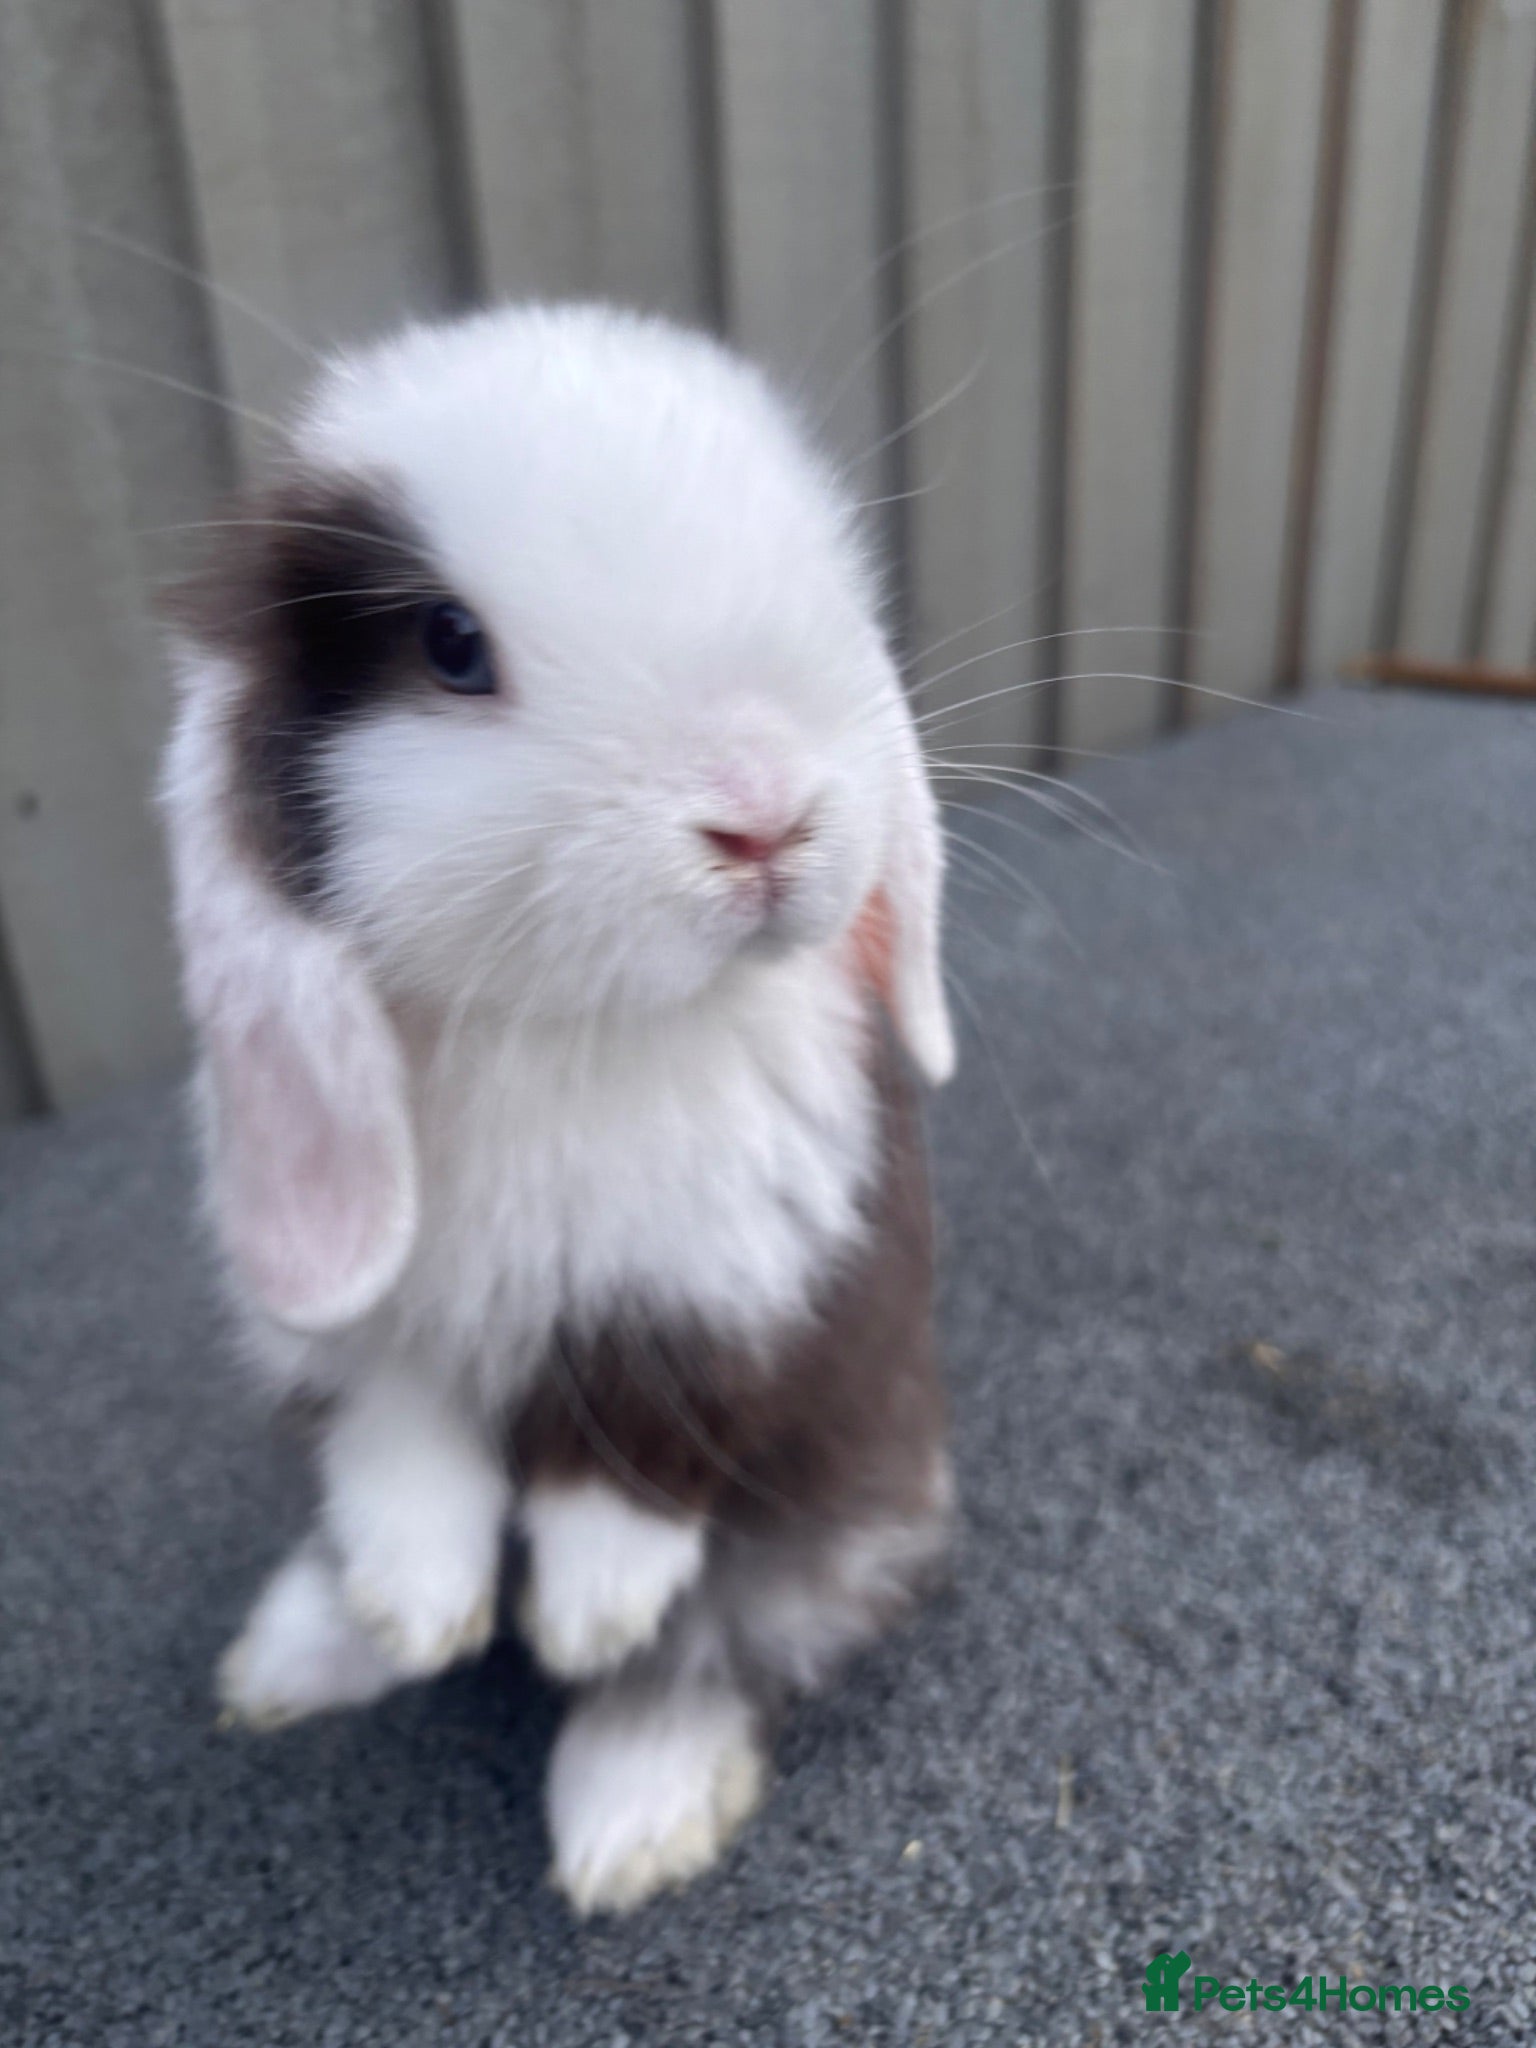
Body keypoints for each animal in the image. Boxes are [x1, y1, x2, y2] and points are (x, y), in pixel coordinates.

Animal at [159, 301, 955, 1916]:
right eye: (450, 644)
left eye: (826, 578)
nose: (763, 814)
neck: (577, 1031)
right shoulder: (353, 1321)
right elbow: (398, 1442)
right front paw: (422, 1610)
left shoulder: (718, 1288)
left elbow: (636, 1455)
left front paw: (581, 1612)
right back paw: (303, 1651)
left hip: (834, 1502)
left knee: (715, 1644)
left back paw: (631, 1816)